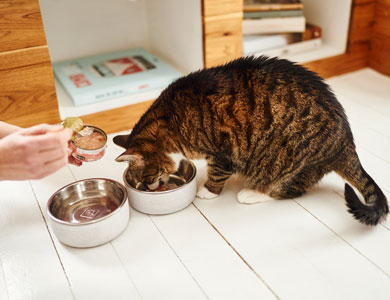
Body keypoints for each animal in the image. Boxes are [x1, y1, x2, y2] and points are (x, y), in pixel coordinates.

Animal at [112, 55, 386, 225]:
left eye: (146, 177)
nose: (149, 189)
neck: (171, 120)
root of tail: (346, 142)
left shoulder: (223, 151)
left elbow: (216, 174)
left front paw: (208, 191)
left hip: (283, 160)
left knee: (288, 189)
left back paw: (253, 193)